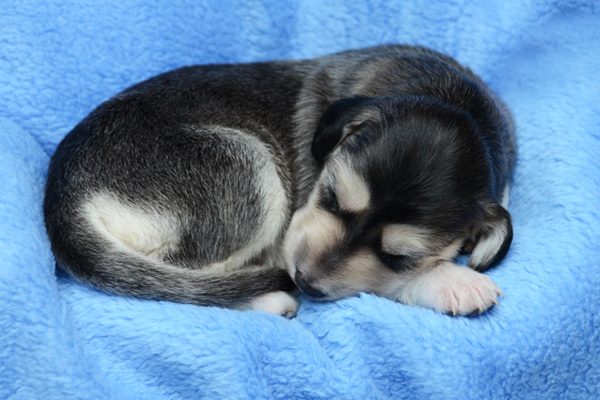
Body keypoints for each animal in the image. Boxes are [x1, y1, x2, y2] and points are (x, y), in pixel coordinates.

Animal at [44, 44, 516, 318]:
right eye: (329, 197)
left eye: (399, 256)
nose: (304, 281)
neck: (453, 97)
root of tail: (63, 190)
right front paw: (453, 281)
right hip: (249, 172)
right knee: (182, 280)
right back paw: (266, 297)